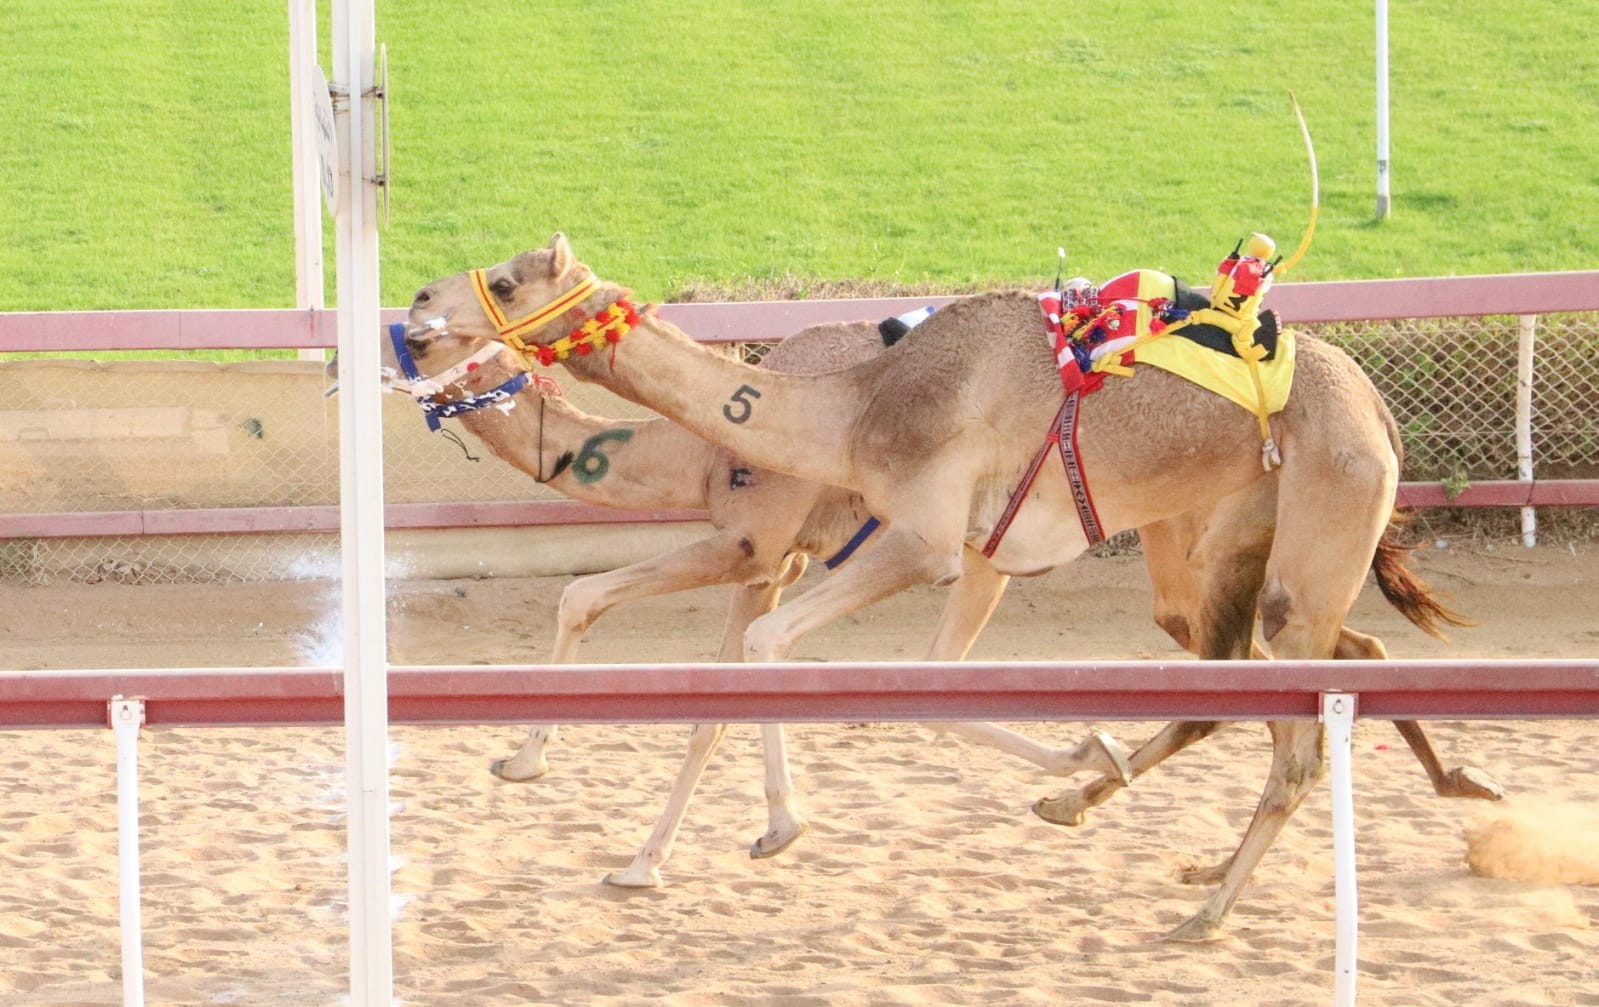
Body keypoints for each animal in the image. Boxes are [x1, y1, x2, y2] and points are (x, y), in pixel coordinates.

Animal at [400, 234, 1473, 938]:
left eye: (503, 281)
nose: (410, 310)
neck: (852, 409)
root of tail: (1379, 406)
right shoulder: (967, 550)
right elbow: (914, 683)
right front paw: (1084, 757)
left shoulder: (906, 540)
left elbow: (761, 654)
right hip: (1232, 534)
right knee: (1304, 664)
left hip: (1321, 509)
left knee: (1297, 726)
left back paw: (1206, 909)